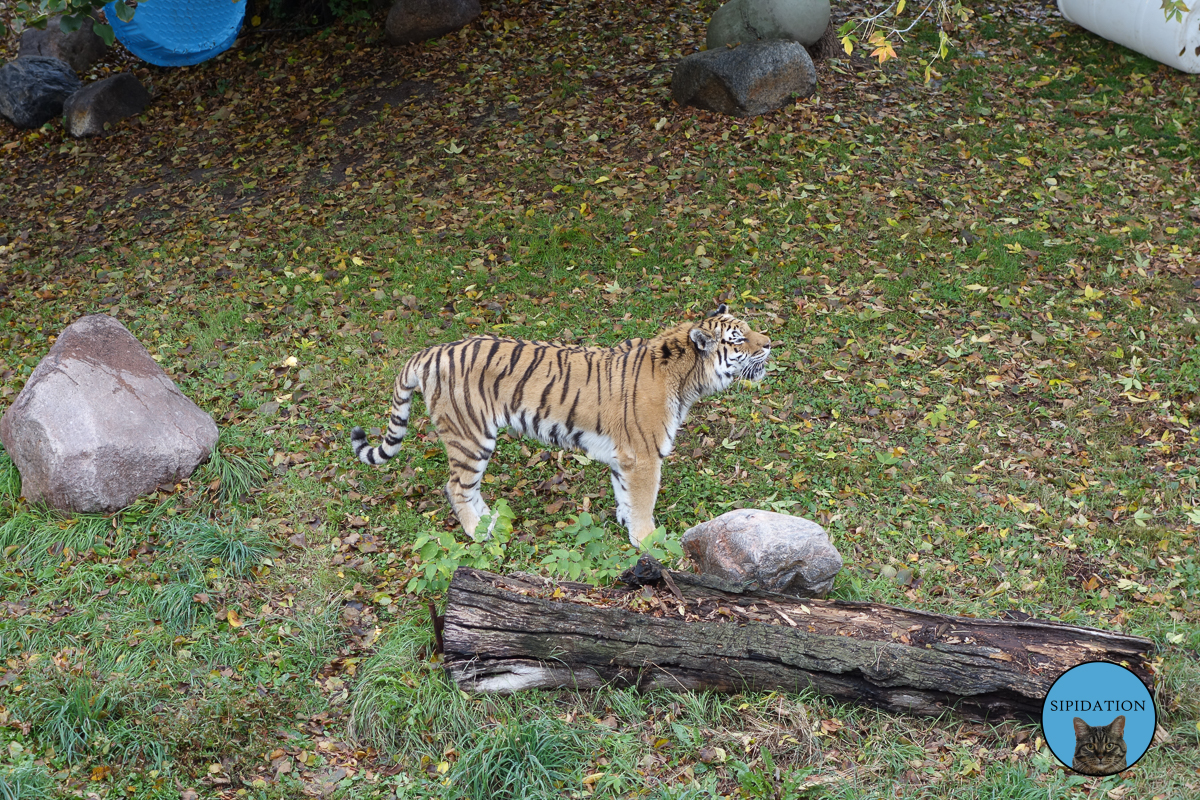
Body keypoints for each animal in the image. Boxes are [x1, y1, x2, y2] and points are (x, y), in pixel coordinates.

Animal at [350, 303, 772, 546]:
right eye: (738, 339)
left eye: (750, 328)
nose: (769, 342)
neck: (687, 379)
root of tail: (431, 351)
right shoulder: (645, 456)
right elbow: (644, 501)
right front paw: (650, 541)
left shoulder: (625, 458)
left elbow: (625, 497)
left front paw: (628, 529)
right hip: (470, 436)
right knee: (456, 487)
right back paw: (481, 533)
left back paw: (493, 522)